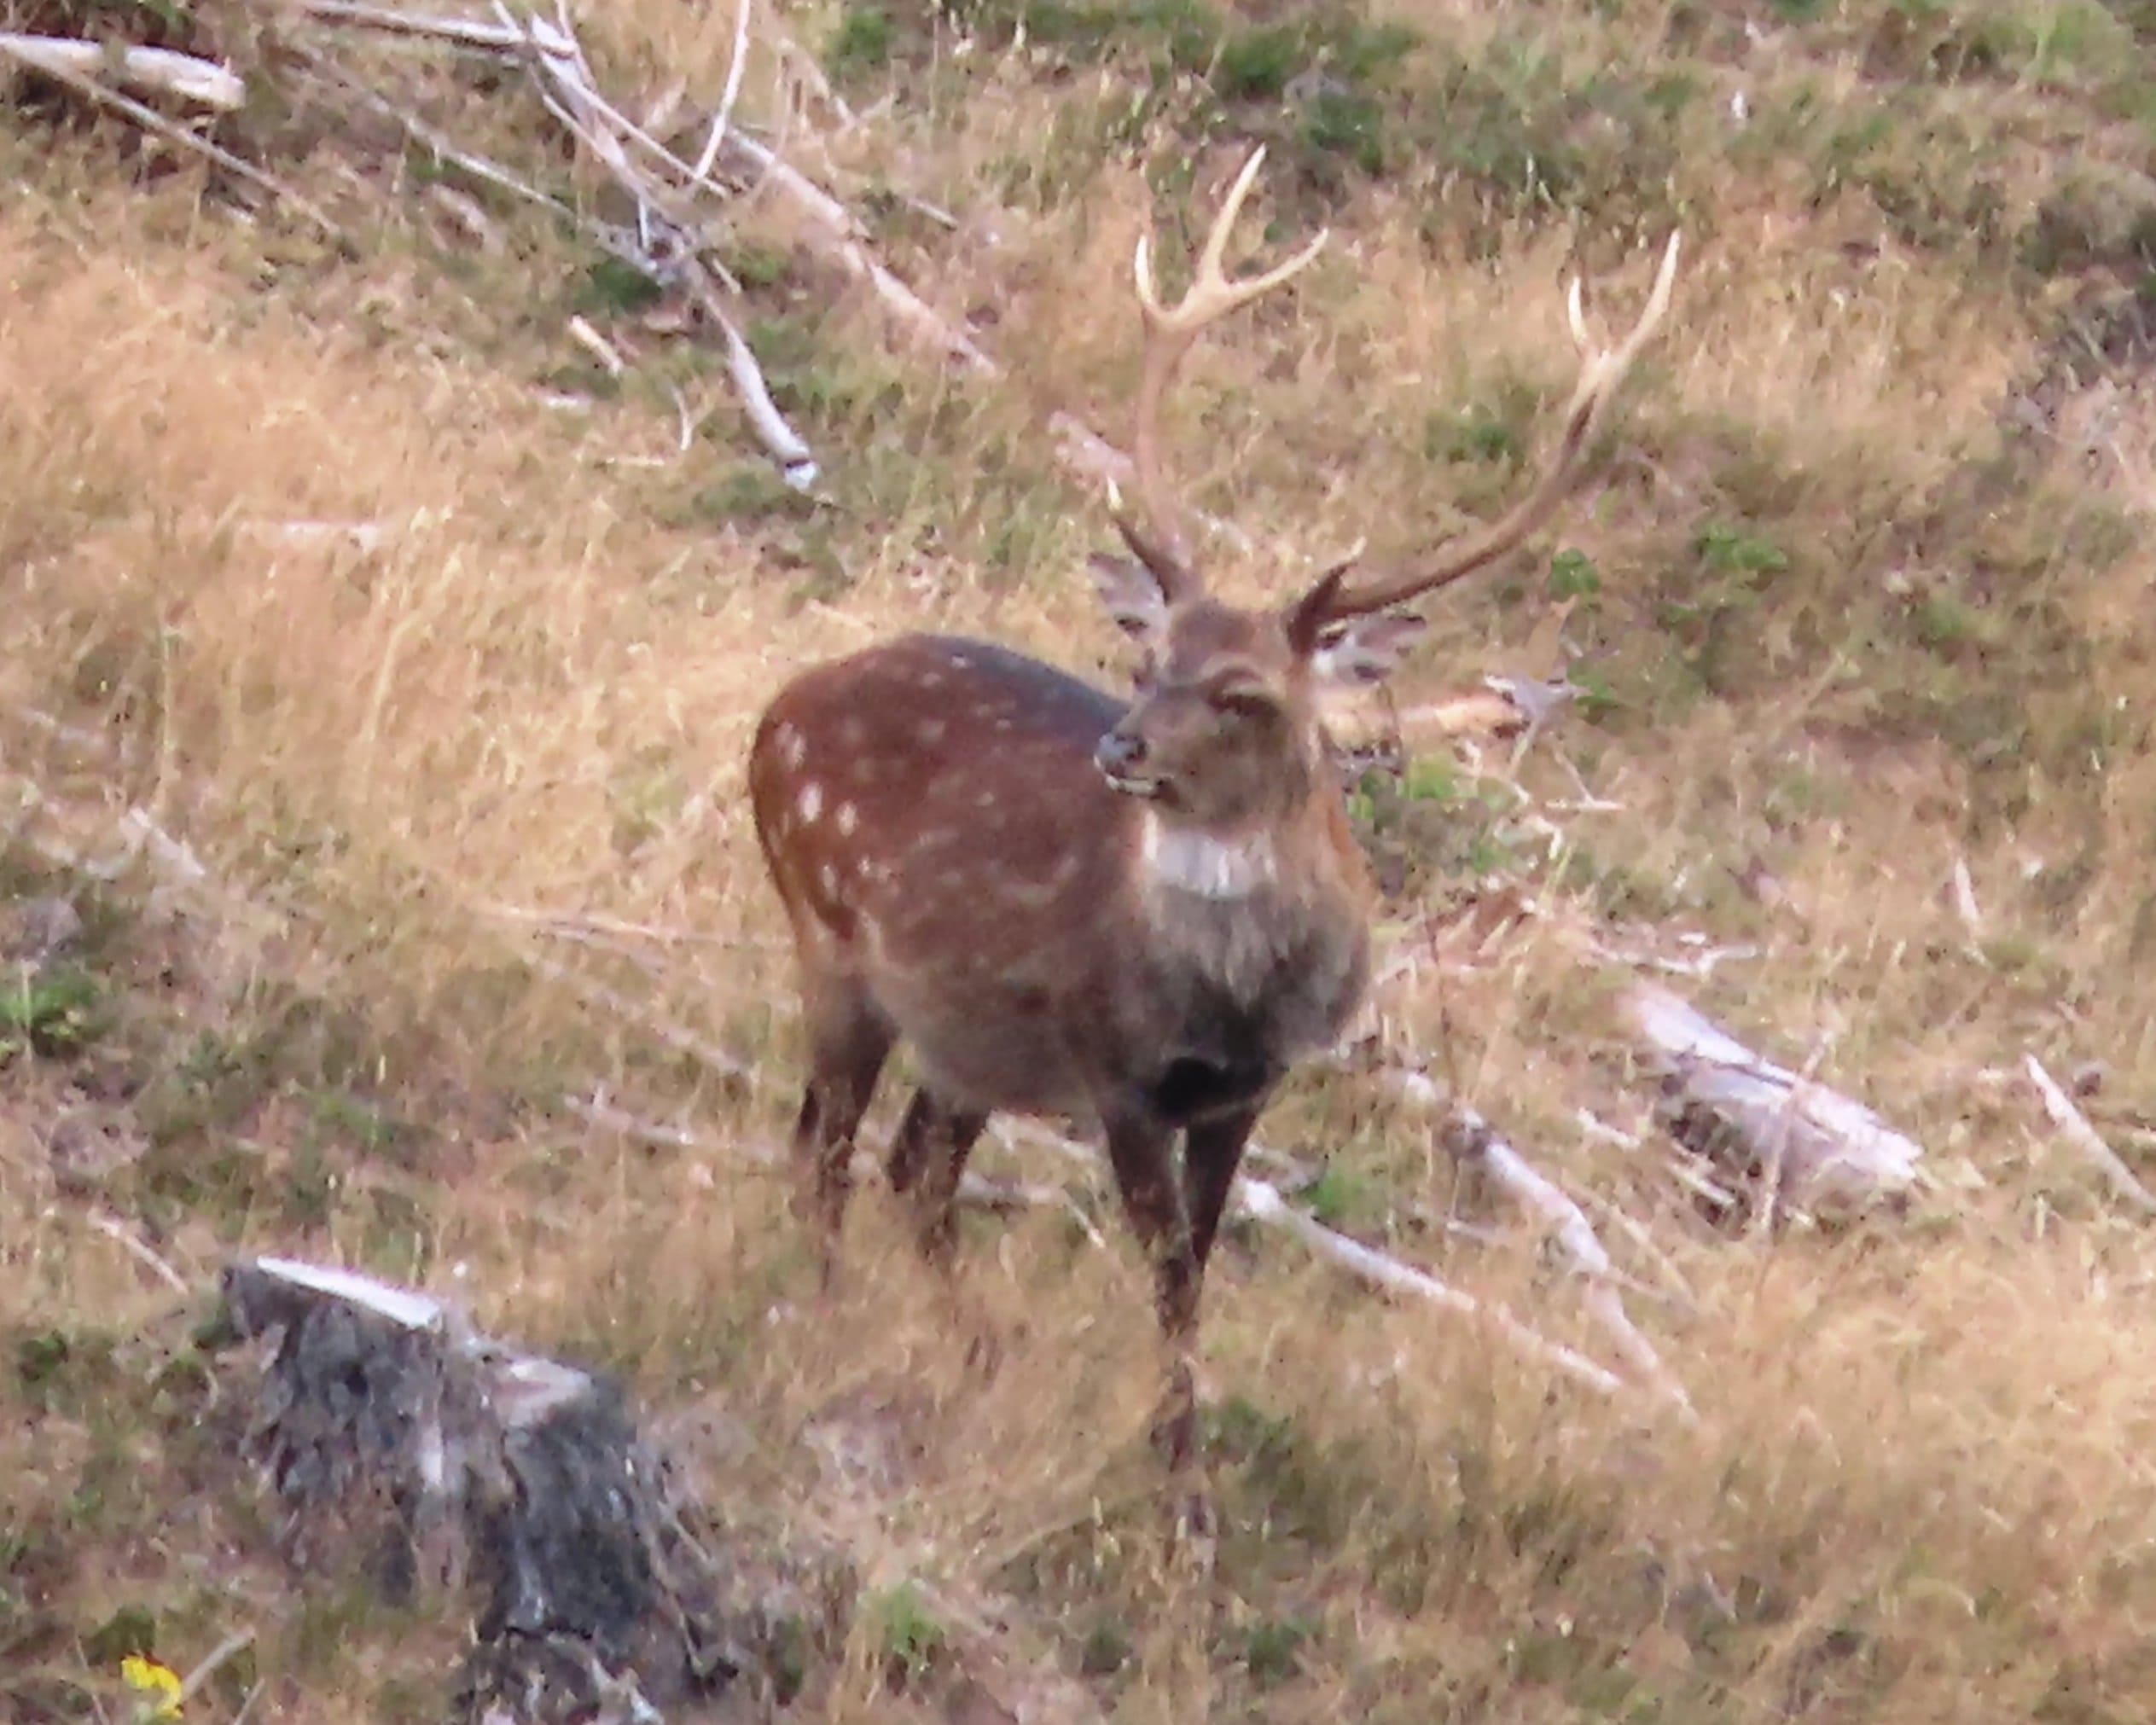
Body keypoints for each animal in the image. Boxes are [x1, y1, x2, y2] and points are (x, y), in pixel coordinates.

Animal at [750, 144, 1672, 1492]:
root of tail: (775, 714)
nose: (1121, 747)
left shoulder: (1246, 1089)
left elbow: (1193, 1263)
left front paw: (1174, 1451)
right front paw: (1179, 1473)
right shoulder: (1117, 1070)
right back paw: (825, 1312)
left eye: (1243, 694)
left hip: (965, 1032)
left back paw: (968, 1345)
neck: (1227, 998)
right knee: (822, 1144)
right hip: (828, 931)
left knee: (911, 1170)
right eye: (1149, 659)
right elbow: (1172, 1269)